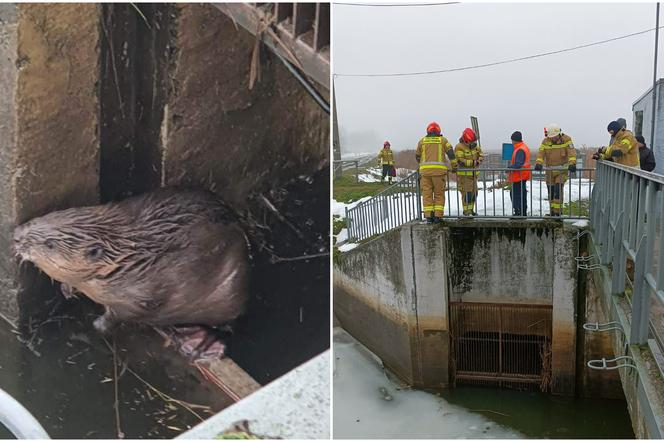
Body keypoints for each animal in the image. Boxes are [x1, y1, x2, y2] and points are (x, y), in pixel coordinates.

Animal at [13, 188, 249, 358]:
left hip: (232, 290)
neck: (130, 260)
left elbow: (121, 314)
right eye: (45, 216)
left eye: (50, 245)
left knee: (232, 326)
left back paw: (202, 342)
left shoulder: (143, 295)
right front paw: (67, 289)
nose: (16, 235)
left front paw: (99, 325)